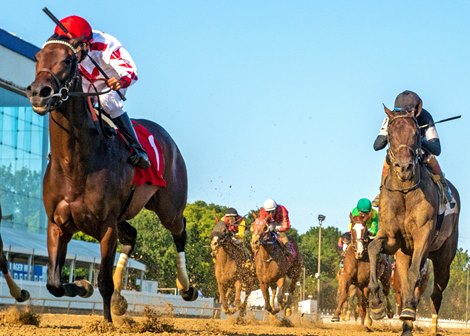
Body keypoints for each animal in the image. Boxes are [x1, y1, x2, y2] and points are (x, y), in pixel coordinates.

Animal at [26, 37, 198, 322]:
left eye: (68, 60)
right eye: (38, 57)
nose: (40, 92)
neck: (74, 163)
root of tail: (167, 138)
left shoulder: (106, 226)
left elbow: (103, 282)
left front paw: (106, 322)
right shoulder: (57, 224)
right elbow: (54, 283)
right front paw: (82, 286)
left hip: (168, 208)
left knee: (180, 231)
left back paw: (186, 288)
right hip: (123, 215)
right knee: (132, 235)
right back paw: (120, 299)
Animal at [368, 106, 458, 334]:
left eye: (416, 133)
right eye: (390, 134)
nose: (404, 167)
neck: (404, 192)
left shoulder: (423, 236)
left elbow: (414, 272)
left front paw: (409, 310)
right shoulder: (392, 239)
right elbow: (373, 248)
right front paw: (376, 305)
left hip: (444, 257)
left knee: (436, 293)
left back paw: (431, 325)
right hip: (403, 253)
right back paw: (406, 324)